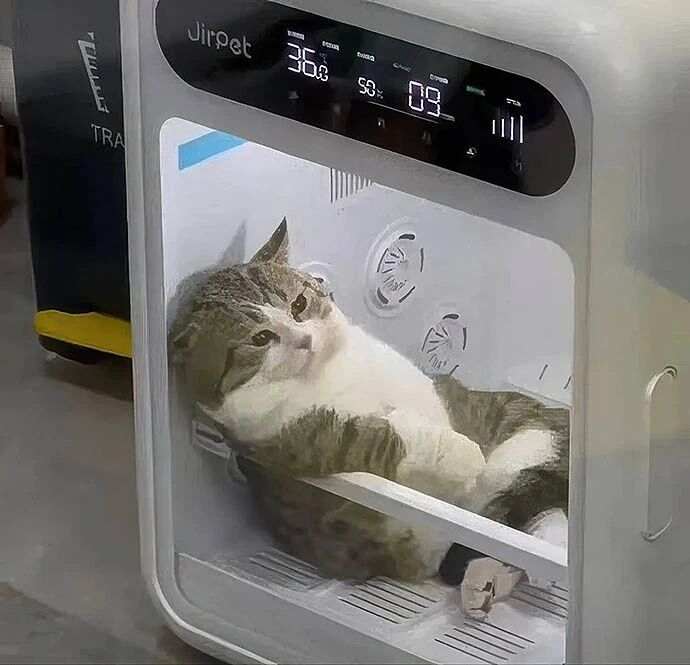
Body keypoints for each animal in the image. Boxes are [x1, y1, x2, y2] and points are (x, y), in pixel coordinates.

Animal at [171, 219, 569, 614]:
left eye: (299, 304)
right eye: (261, 338)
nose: (304, 341)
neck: (326, 373)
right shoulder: (301, 441)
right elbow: (384, 440)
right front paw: (462, 455)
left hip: (529, 441)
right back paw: (487, 579)